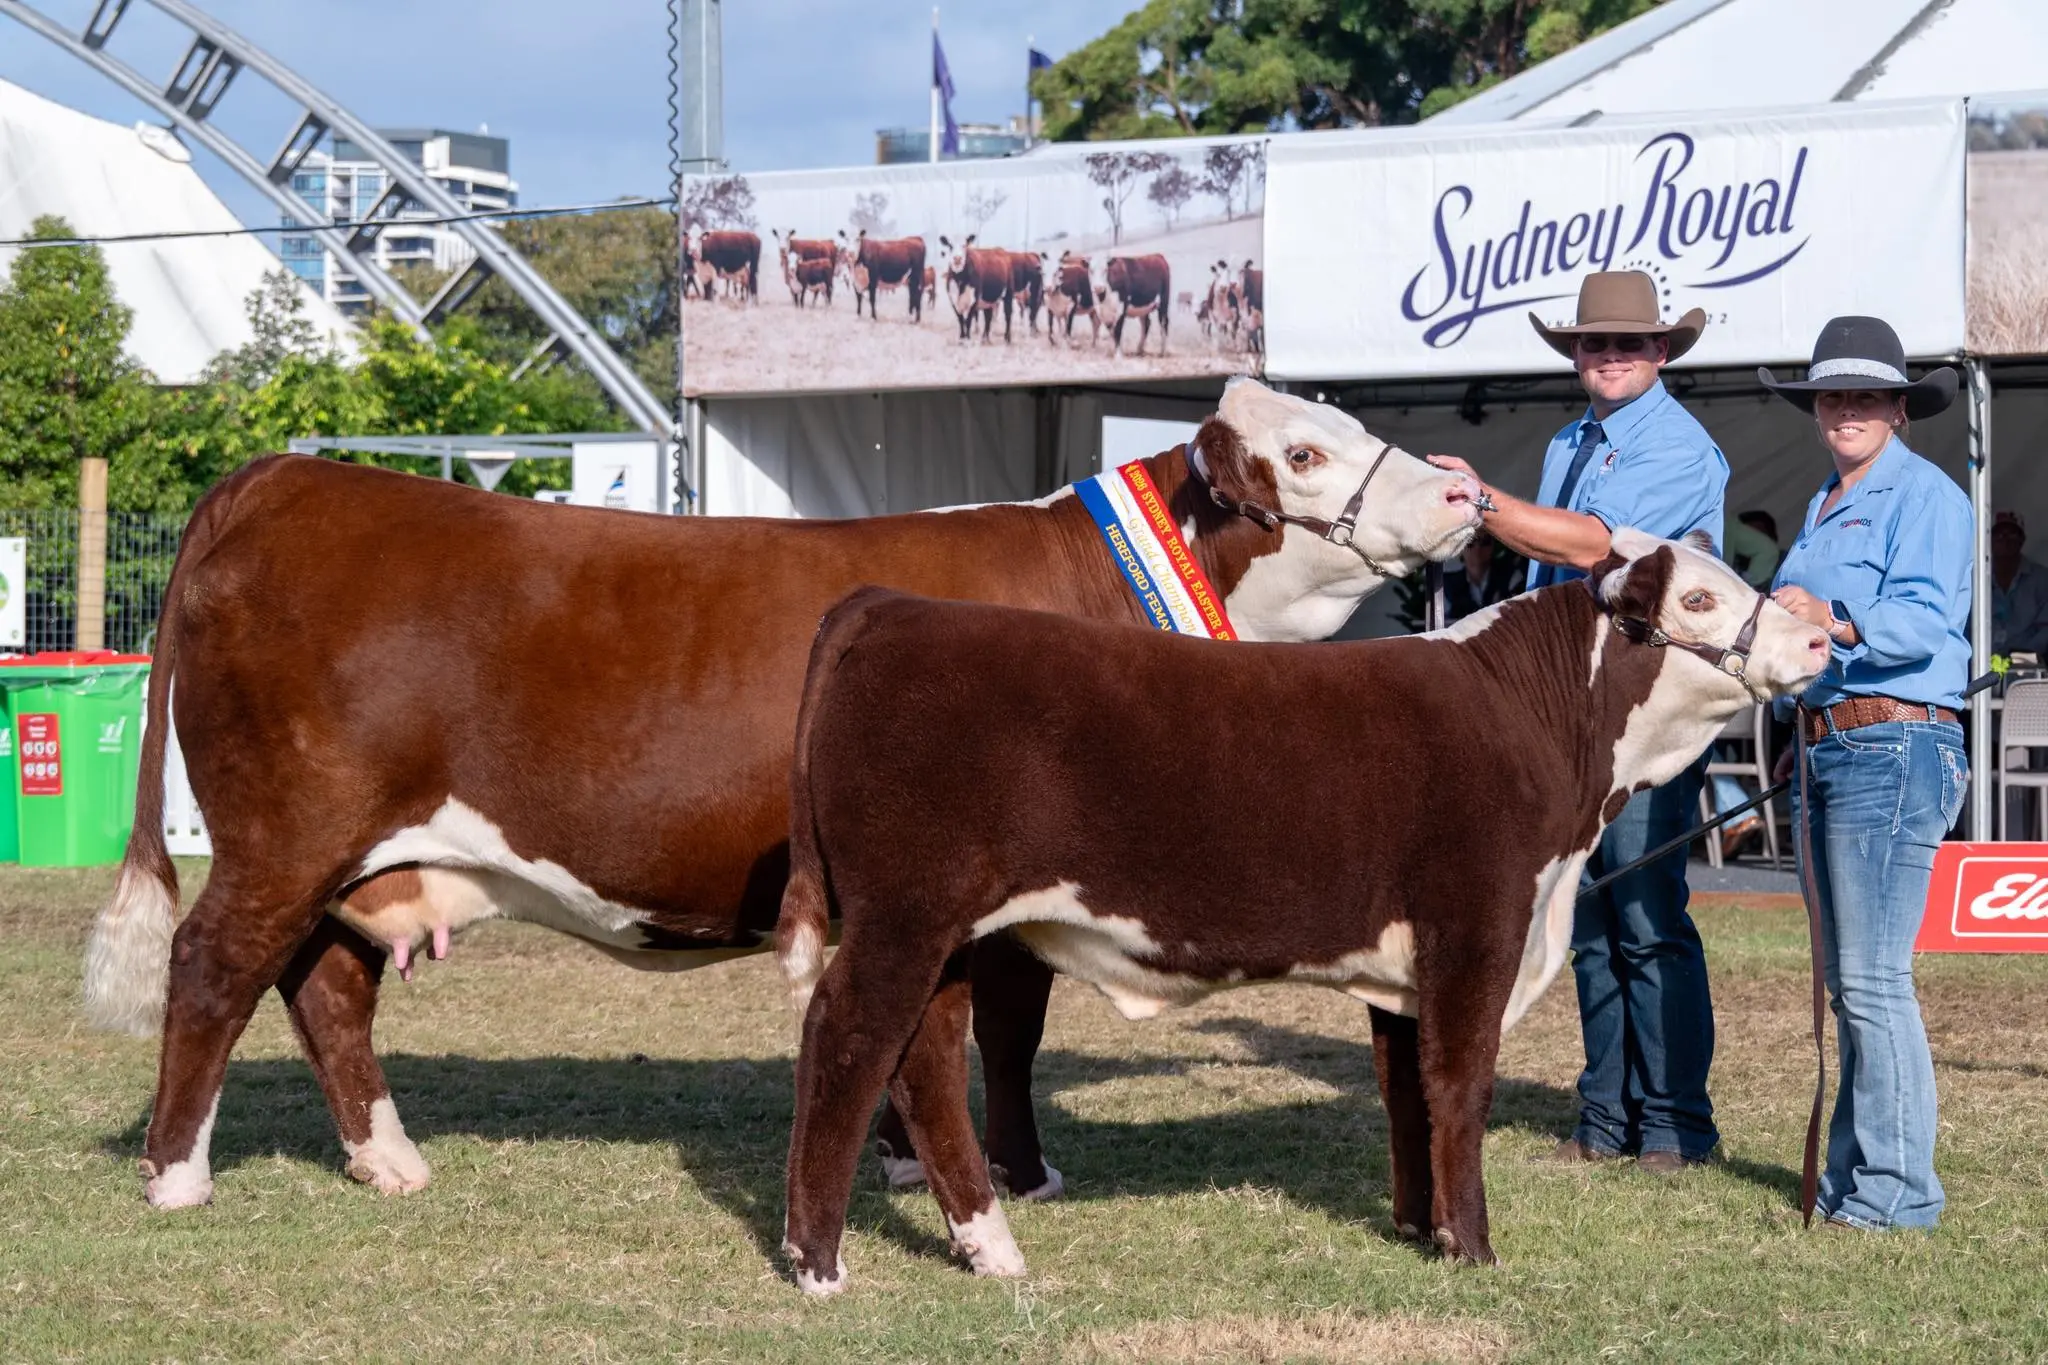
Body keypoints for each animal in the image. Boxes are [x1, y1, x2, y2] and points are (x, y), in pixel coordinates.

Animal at [81, 379, 1486, 1213]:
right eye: (1303, 450)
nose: (1465, 487)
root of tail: (290, 476)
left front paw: (909, 1158)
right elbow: (1009, 1035)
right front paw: (1015, 1174)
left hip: (357, 855)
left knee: (322, 986)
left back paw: (391, 1162)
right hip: (285, 831)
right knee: (215, 966)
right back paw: (176, 1179)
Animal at [775, 527, 1830, 1294]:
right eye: (1699, 599)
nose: (1822, 636)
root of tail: (888, 604)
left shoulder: (1407, 966)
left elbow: (1409, 1090)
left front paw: (1422, 1227)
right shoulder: (1476, 930)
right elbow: (1462, 1087)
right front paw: (1477, 1247)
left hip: (949, 930)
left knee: (924, 1064)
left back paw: (989, 1247)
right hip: (904, 914)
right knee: (847, 1038)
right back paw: (818, 1262)